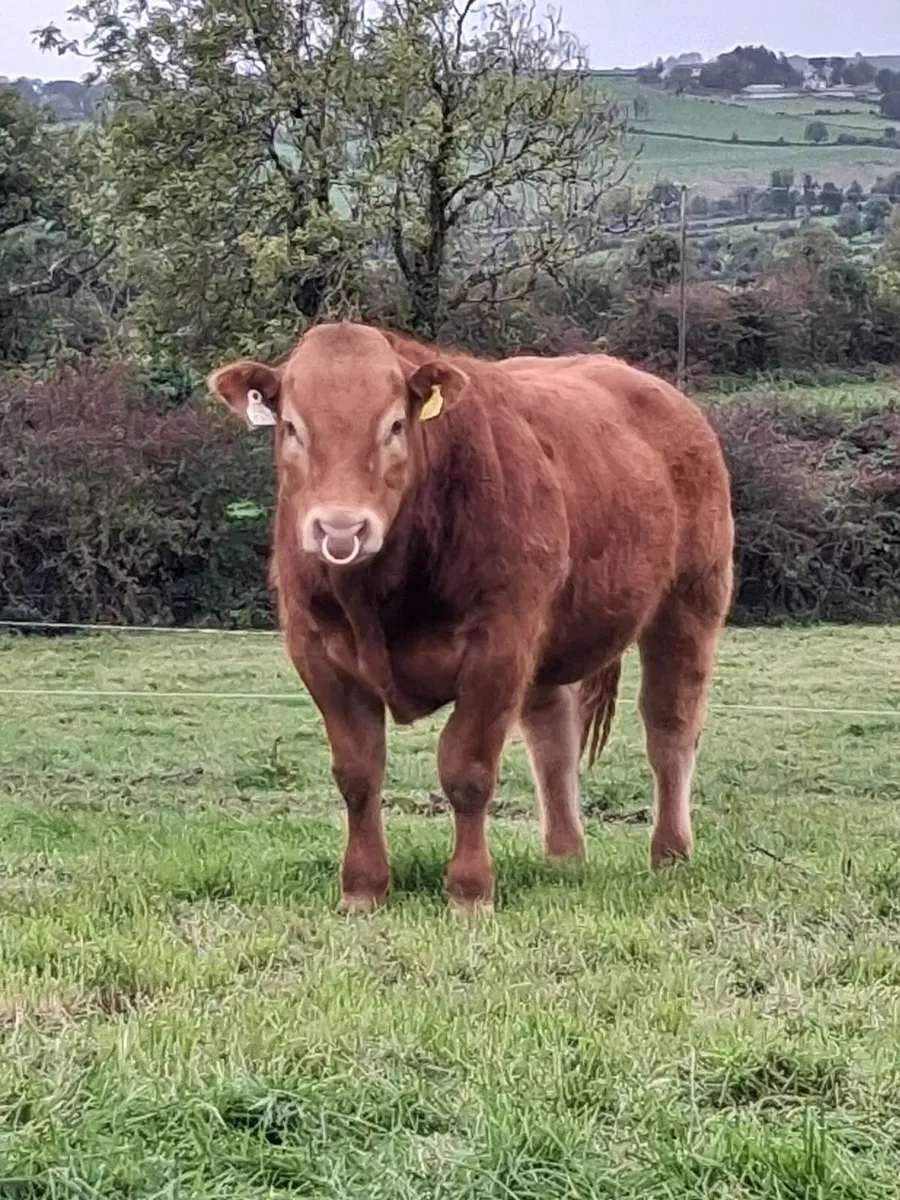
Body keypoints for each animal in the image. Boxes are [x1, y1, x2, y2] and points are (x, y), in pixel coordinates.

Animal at [208, 322, 734, 913]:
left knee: (670, 726)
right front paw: (362, 889)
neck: (380, 597)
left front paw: (469, 891)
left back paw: (670, 854)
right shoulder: (316, 650)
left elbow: (467, 769)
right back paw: (563, 855)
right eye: (293, 427)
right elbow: (358, 772)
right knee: (553, 738)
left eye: (395, 425)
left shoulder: (498, 646)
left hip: (692, 596)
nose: (341, 529)